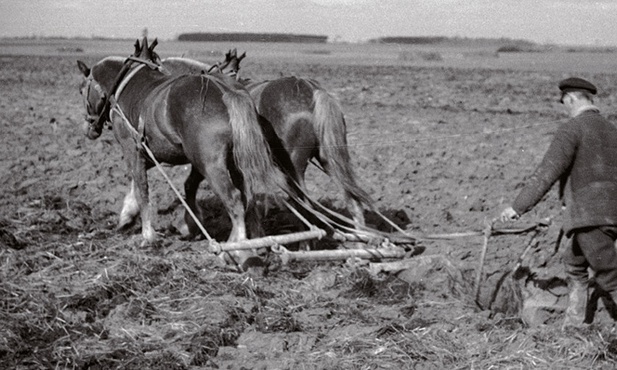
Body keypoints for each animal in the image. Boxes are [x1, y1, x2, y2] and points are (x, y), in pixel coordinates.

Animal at [77, 38, 286, 268]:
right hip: (233, 161)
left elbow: (142, 189)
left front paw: (147, 235)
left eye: (81, 90)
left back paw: (238, 250)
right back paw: (249, 244)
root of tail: (226, 90)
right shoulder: (152, 153)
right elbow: (160, 184)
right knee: (248, 198)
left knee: (234, 200)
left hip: (210, 164)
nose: (89, 128)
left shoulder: (132, 148)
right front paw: (129, 217)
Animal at [161, 51, 370, 228]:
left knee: (305, 204)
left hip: (293, 165)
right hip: (328, 158)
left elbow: (192, 183)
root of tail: (312, 89)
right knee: (352, 200)